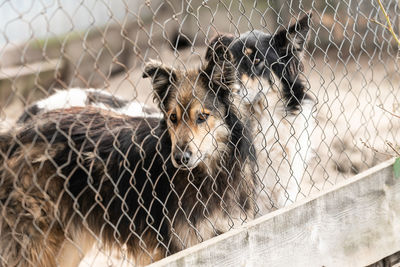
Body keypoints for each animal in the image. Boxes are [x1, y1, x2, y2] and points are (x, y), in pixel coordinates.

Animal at [0, 43, 256, 266]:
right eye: (172, 117)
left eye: (202, 117)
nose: (180, 158)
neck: (208, 175)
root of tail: (16, 132)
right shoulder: (184, 248)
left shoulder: (229, 236)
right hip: (38, 242)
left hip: (70, 243)